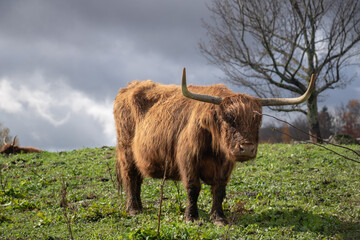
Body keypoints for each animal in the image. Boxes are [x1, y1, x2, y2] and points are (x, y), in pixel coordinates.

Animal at [114, 68, 314, 225]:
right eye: (228, 119)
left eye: (257, 121)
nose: (246, 148)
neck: (214, 148)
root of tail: (129, 87)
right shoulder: (188, 160)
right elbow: (193, 188)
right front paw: (192, 217)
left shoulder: (225, 166)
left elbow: (219, 190)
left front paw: (219, 218)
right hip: (126, 150)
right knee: (130, 177)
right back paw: (133, 209)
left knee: (137, 179)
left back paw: (139, 207)